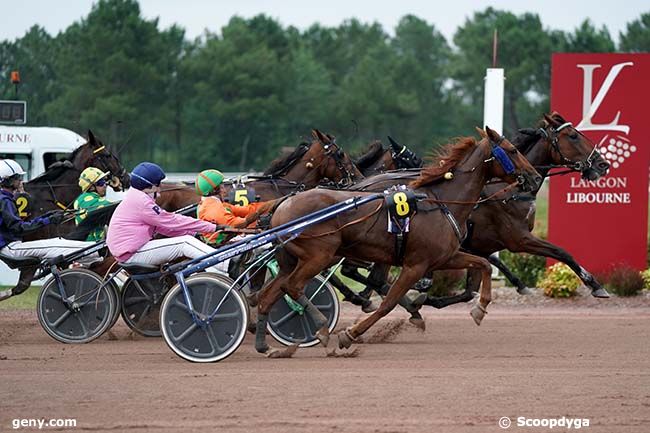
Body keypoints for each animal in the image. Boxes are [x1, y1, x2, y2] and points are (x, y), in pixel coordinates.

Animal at [251, 125, 540, 354]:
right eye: (512, 150)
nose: (536, 177)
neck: (441, 202)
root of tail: (283, 204)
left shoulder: (444, 257)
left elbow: (484, 264)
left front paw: (479, 309)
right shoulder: (416, 265)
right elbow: (388, 302)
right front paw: (350, 334)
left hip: (291, 260)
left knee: (268, 294)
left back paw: (264, 345)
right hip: (319, 255)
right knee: (293, 287)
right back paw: (321, 326)